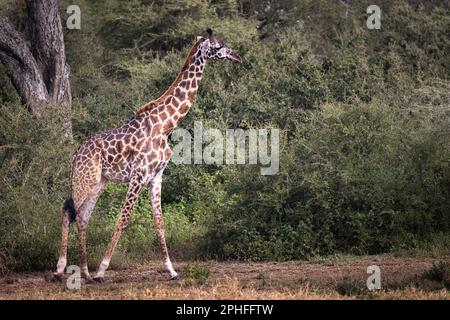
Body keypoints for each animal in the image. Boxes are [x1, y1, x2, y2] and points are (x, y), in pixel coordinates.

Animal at [52, 28, 243, 282]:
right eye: (219, 46)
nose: (237, 56)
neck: (166, 125)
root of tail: (75, 155)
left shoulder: (156, 176)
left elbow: (159, 222)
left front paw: (172, 270)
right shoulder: (139, 174)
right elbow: (123, 219)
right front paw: (102, 269)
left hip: (100, 181)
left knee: (82, 217)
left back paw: (85, 272)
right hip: (86, 177)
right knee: (67, 211)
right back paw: (61, 269)